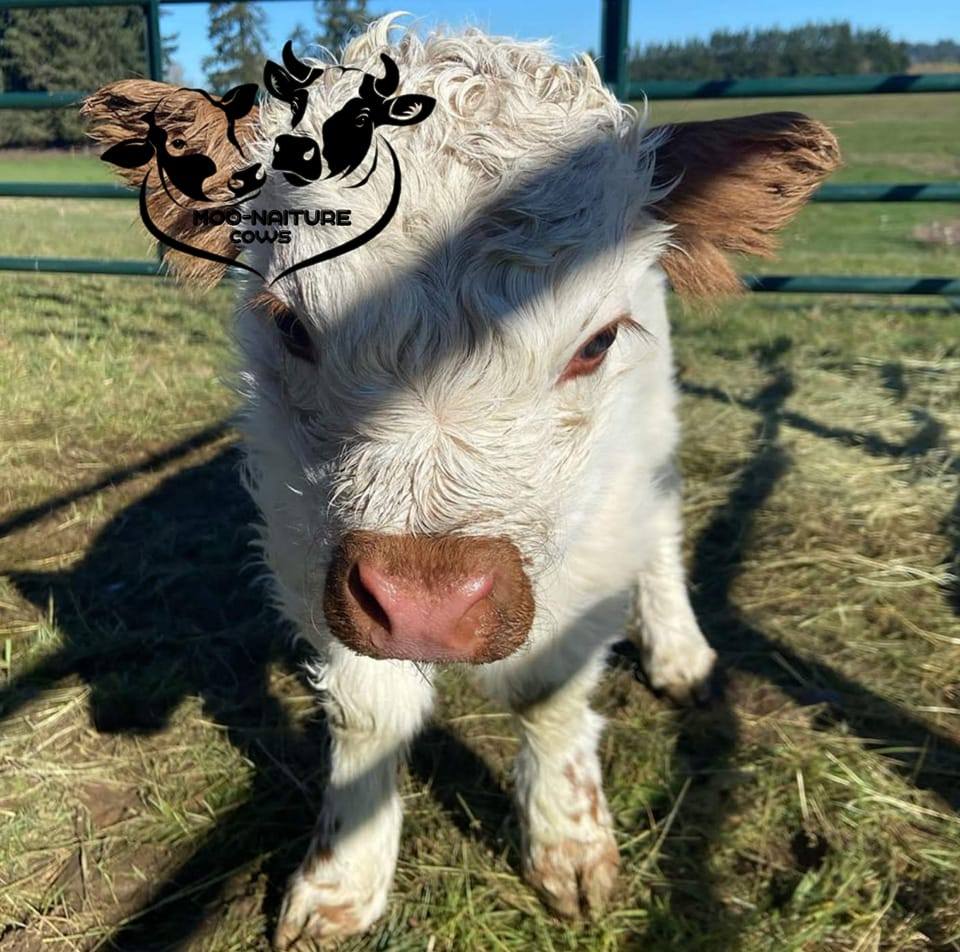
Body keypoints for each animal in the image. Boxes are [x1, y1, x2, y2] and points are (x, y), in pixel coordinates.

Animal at [85, 15, 840, 948]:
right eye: (289, 325)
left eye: (596, 341)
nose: (428, 606)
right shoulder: (309, 541)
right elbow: (368, 710)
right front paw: (343, 881)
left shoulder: (591, 544)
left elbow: (548, 694)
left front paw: (569, 844)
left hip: (652, 433)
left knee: (662, 521)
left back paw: (678, 649)